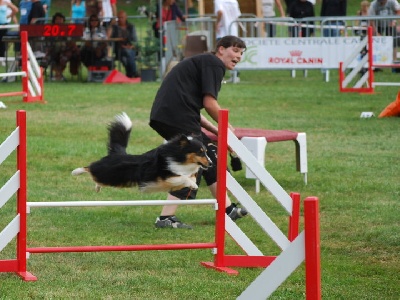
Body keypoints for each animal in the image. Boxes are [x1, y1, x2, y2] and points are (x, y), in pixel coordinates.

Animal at [71, 112, 212, 192]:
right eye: (200, 152)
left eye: (206, 151)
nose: (211, 163)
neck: (178, 157)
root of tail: (118, 154)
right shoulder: (165, 176)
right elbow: (182, 177)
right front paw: (193, 185)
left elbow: (189, 178)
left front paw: (192, 184)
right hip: (107, 172)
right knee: (90, 167)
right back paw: (75, 171)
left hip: (114, 179)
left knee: (96, 178)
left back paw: (97, 188)